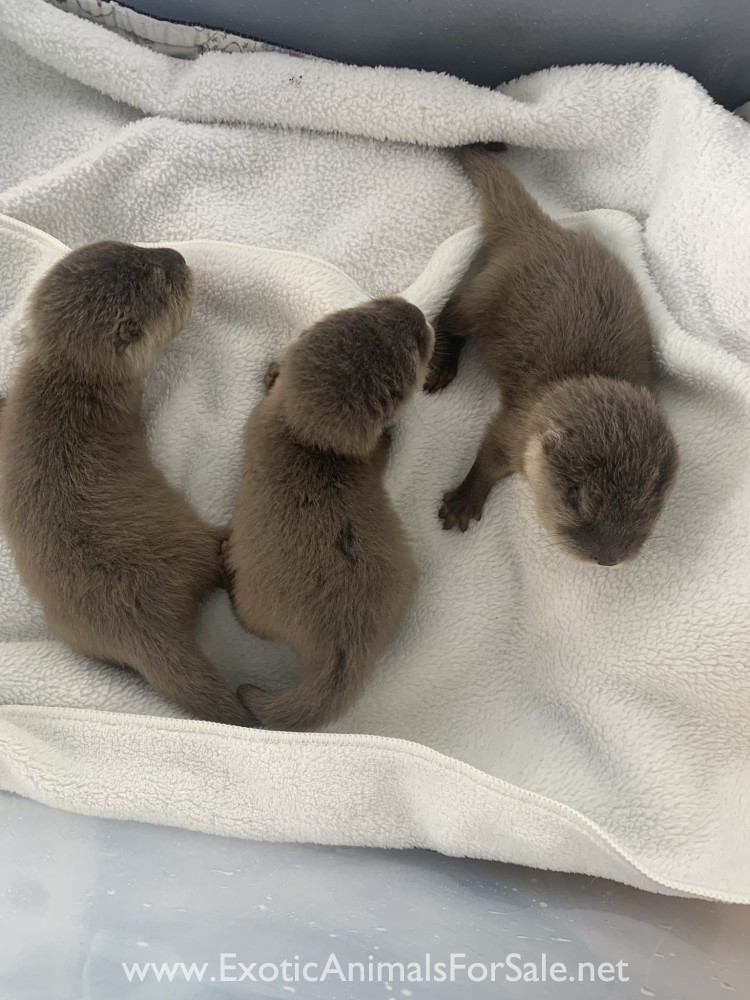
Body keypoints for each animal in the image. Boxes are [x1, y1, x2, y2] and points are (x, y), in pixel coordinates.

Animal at [0, 241, 255, 726]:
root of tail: (138, 623)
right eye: (162, 276)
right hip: (190, 545)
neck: (67, 378)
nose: (179, 256)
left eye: (134, 246)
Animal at [425, 147, 678, 566]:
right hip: (486, 292)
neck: (581, 376)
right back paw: (442, 366)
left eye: (650, 502)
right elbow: (488, 456)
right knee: (448, 313)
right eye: (575, 494)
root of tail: (537, 228)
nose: (608, 556)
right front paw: (461, 503)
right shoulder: (516, 424)